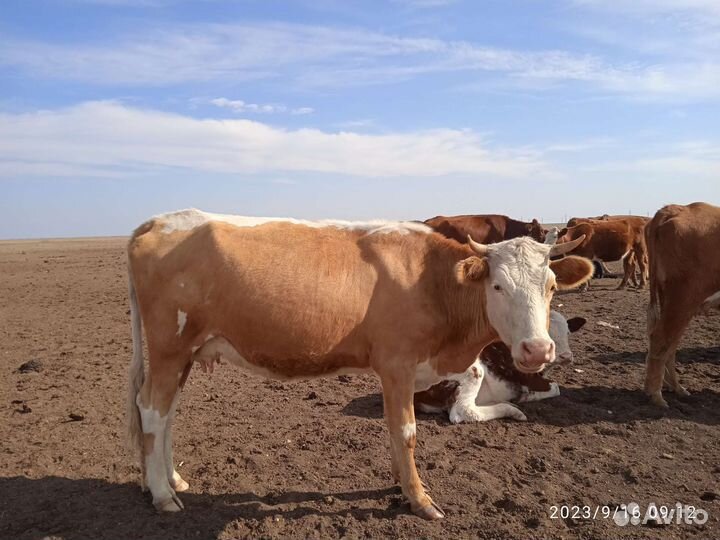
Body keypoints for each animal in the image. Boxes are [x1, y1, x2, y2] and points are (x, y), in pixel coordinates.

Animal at [414, 311, 586, 423]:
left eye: (568, 332)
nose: (566, 356)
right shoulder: (527, 377)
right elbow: (556, 387)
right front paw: (525, 396)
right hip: (473, 371)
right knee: (463, 411)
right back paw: (512, 410)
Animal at [644, 202, 720, 407]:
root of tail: (677, 208)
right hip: (682, 298)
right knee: (661, 338)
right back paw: (656, 395)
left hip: (673, 301)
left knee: (670, 343)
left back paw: (676, 388)